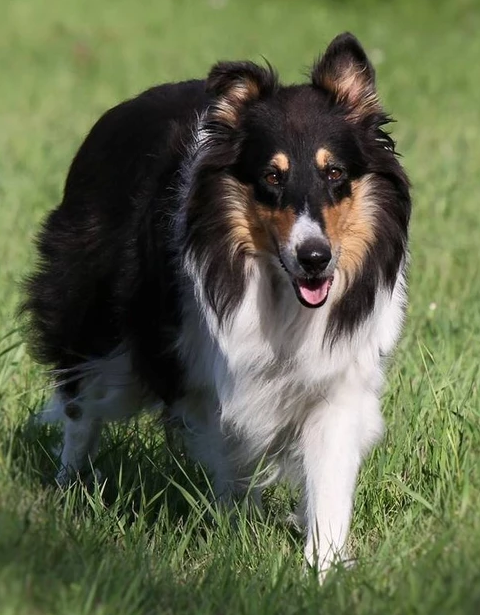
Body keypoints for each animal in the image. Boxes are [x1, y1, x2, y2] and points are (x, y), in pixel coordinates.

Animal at [24, 35, 410, 576]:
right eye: (272, 176)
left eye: (334, 172)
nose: (314, 258)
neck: (279, 293)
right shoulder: (210, 374)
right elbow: (229, 454)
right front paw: (237, 530)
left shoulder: (337, 383)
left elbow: (329, 480)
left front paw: (325, 568)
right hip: (96, 323)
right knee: (81, 404)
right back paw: (68, 488)